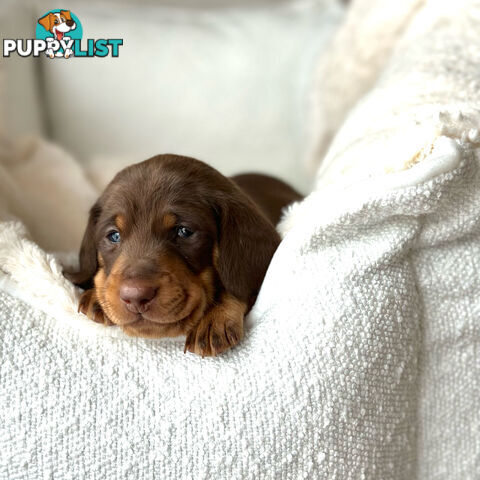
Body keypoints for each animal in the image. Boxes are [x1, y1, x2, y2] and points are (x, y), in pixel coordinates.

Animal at [65, 155, 302, 356]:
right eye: (113, 235)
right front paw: (97, 296)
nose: (135, 296)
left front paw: (215, 318)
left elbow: (238, 285)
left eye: (184, 231)